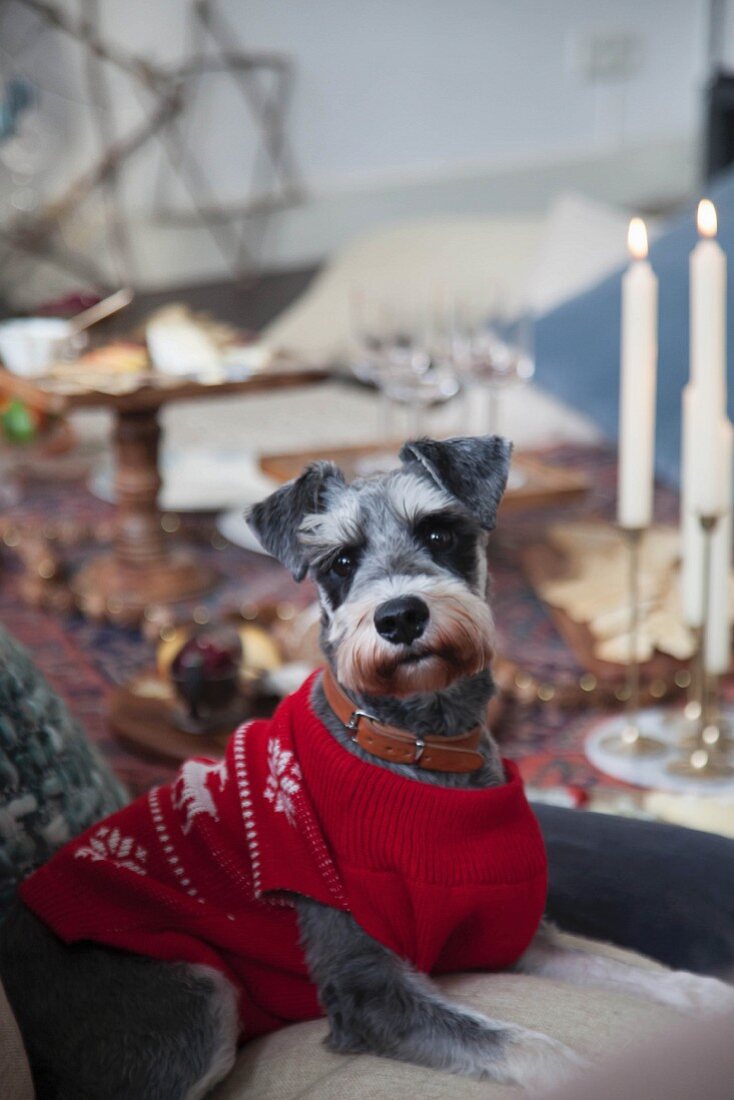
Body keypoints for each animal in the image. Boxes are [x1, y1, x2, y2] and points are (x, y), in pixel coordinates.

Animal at [1, 433, 734, 1095]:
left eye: (439, 532)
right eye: (340, 560)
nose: (400, 616)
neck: (420, 746)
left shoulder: (516, 939)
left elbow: (641, 974)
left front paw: (711, 998)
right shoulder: (368, 986)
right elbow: (526, 1045)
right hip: (197, 997)